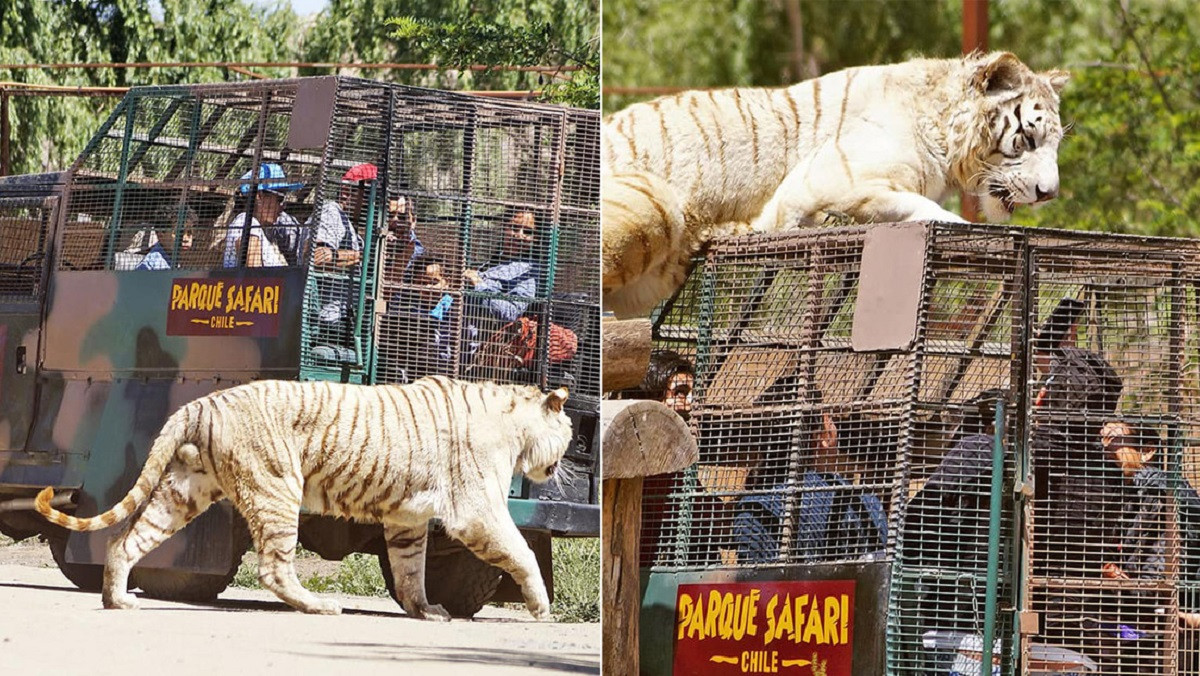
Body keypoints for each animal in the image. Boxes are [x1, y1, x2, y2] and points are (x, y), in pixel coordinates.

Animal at [36, 379, 576, 619]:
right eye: (570, 430)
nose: (566, 460)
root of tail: (201, 402)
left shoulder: (407, 518)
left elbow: (411, 569)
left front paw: (425, 610)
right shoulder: (476, 510)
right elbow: (522, 552)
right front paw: (541, 607)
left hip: (184, 491)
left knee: (125, 541)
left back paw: (118, 599)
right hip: (276, 487)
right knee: (273, 568)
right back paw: (319, 606)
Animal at [609, 51, 1070, 319]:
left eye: (1055, 144)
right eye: (1028, 138)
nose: (1050, 193)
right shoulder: (828, 178)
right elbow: (918, 208)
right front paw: (965, 229)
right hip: (653, 203)